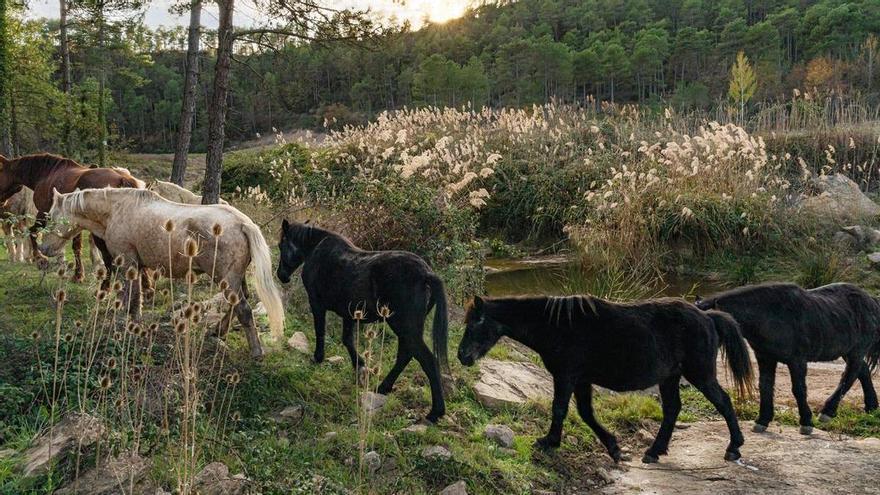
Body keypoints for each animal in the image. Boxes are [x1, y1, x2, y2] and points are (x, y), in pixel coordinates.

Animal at [0, 153, 146, 280]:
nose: (2, 203)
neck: (46, 174)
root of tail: (123, 178)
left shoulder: (43, 213)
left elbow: (33, 232)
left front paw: (41, 259)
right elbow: (76, 245)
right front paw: (77, 273)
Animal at [41, 188, 284, 358]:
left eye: (52, 217)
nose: (44, 249)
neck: (116, 210)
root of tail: (243, 223)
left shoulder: (127, 262)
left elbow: (129, 295)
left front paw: (125, 322)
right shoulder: (137, 266)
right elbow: (137, 296)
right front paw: (135, 322)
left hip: (226, 278)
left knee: (243, 309)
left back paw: (256, 351)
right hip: (235, 278)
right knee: (237, 304)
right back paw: (218, 331)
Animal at [278, 220, 450, 422]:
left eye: (281, 245)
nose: (281, 275)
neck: (316, 248)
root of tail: (426, 274)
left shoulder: (317, 304)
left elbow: (320, 332)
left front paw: (318, 357)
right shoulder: (350, 314)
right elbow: (347, 340)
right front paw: (360, 366)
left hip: (404, 327)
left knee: (427, 360)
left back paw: (435, 412)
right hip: (407, 328)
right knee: (406, 355)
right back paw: (384, 387)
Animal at [458, 294, 752, 464]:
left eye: (475, 323)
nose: (462, 356)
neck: (555, 325)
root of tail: (707, 317)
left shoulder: (566, 376)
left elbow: (560, 409)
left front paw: (549, 442)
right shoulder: (580, 379)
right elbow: (585, 413)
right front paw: (613, 447)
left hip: (699, 374)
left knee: (723, 402)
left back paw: (734, 447)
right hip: (670, 377)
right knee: (672, 410)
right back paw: (654, 451)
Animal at [696, 282, 880, 434]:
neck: (771, 315)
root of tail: (870, 300)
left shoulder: (797, 361)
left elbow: (798, 389)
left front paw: (806, 423)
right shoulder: (766, 358)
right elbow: (765, 387)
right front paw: (762, 420)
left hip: (856, 351)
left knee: (849, 376)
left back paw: (827, 412)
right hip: (847, 351)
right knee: (862, 371)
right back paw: (871, 406)